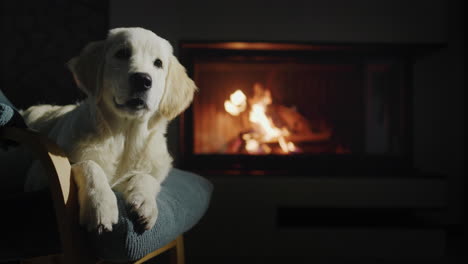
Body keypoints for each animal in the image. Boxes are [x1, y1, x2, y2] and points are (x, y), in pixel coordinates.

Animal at [21, 27, 197, 233]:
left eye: (158, 63)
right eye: (122, 53)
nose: (143, 79)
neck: (125, 136)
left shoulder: (155, 168)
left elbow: (147, 177)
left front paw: (145, 203)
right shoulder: (37, 176)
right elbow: (88, 164)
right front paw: (100, 205)